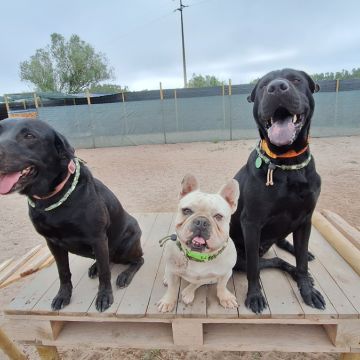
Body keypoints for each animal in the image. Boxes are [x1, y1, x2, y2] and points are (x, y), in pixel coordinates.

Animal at [0, 119, 143, 312]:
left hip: (125, 245)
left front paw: (104, 296)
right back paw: (94, 267)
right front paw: (63, 296)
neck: (51, 198)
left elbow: (105, 274)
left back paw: (125, 275)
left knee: (137, 260)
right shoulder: (53, 243)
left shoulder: (98, 238)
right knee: (107, 260)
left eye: (29, 136)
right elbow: (63, 272)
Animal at [157, 174, 239, 312]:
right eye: (187, 211)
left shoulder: (226, 273)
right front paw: (168, 301)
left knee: (198, 282)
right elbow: (172, 289)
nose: (201, 221)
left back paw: (188, 292)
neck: (199, 255)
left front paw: (225, 298)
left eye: (218, 216)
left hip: (212, 279)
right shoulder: (172, 272)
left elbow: (221, 286)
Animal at [231, 69, 326, 314]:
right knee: (270, 261)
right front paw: (255, 296)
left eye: (296, 80)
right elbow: (254, 270)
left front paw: (307, 291)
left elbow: (301, 263)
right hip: (239, 255)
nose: (276, 87)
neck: (288, 162)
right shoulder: (251, 223)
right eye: (264, 85)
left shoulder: (305, 219)